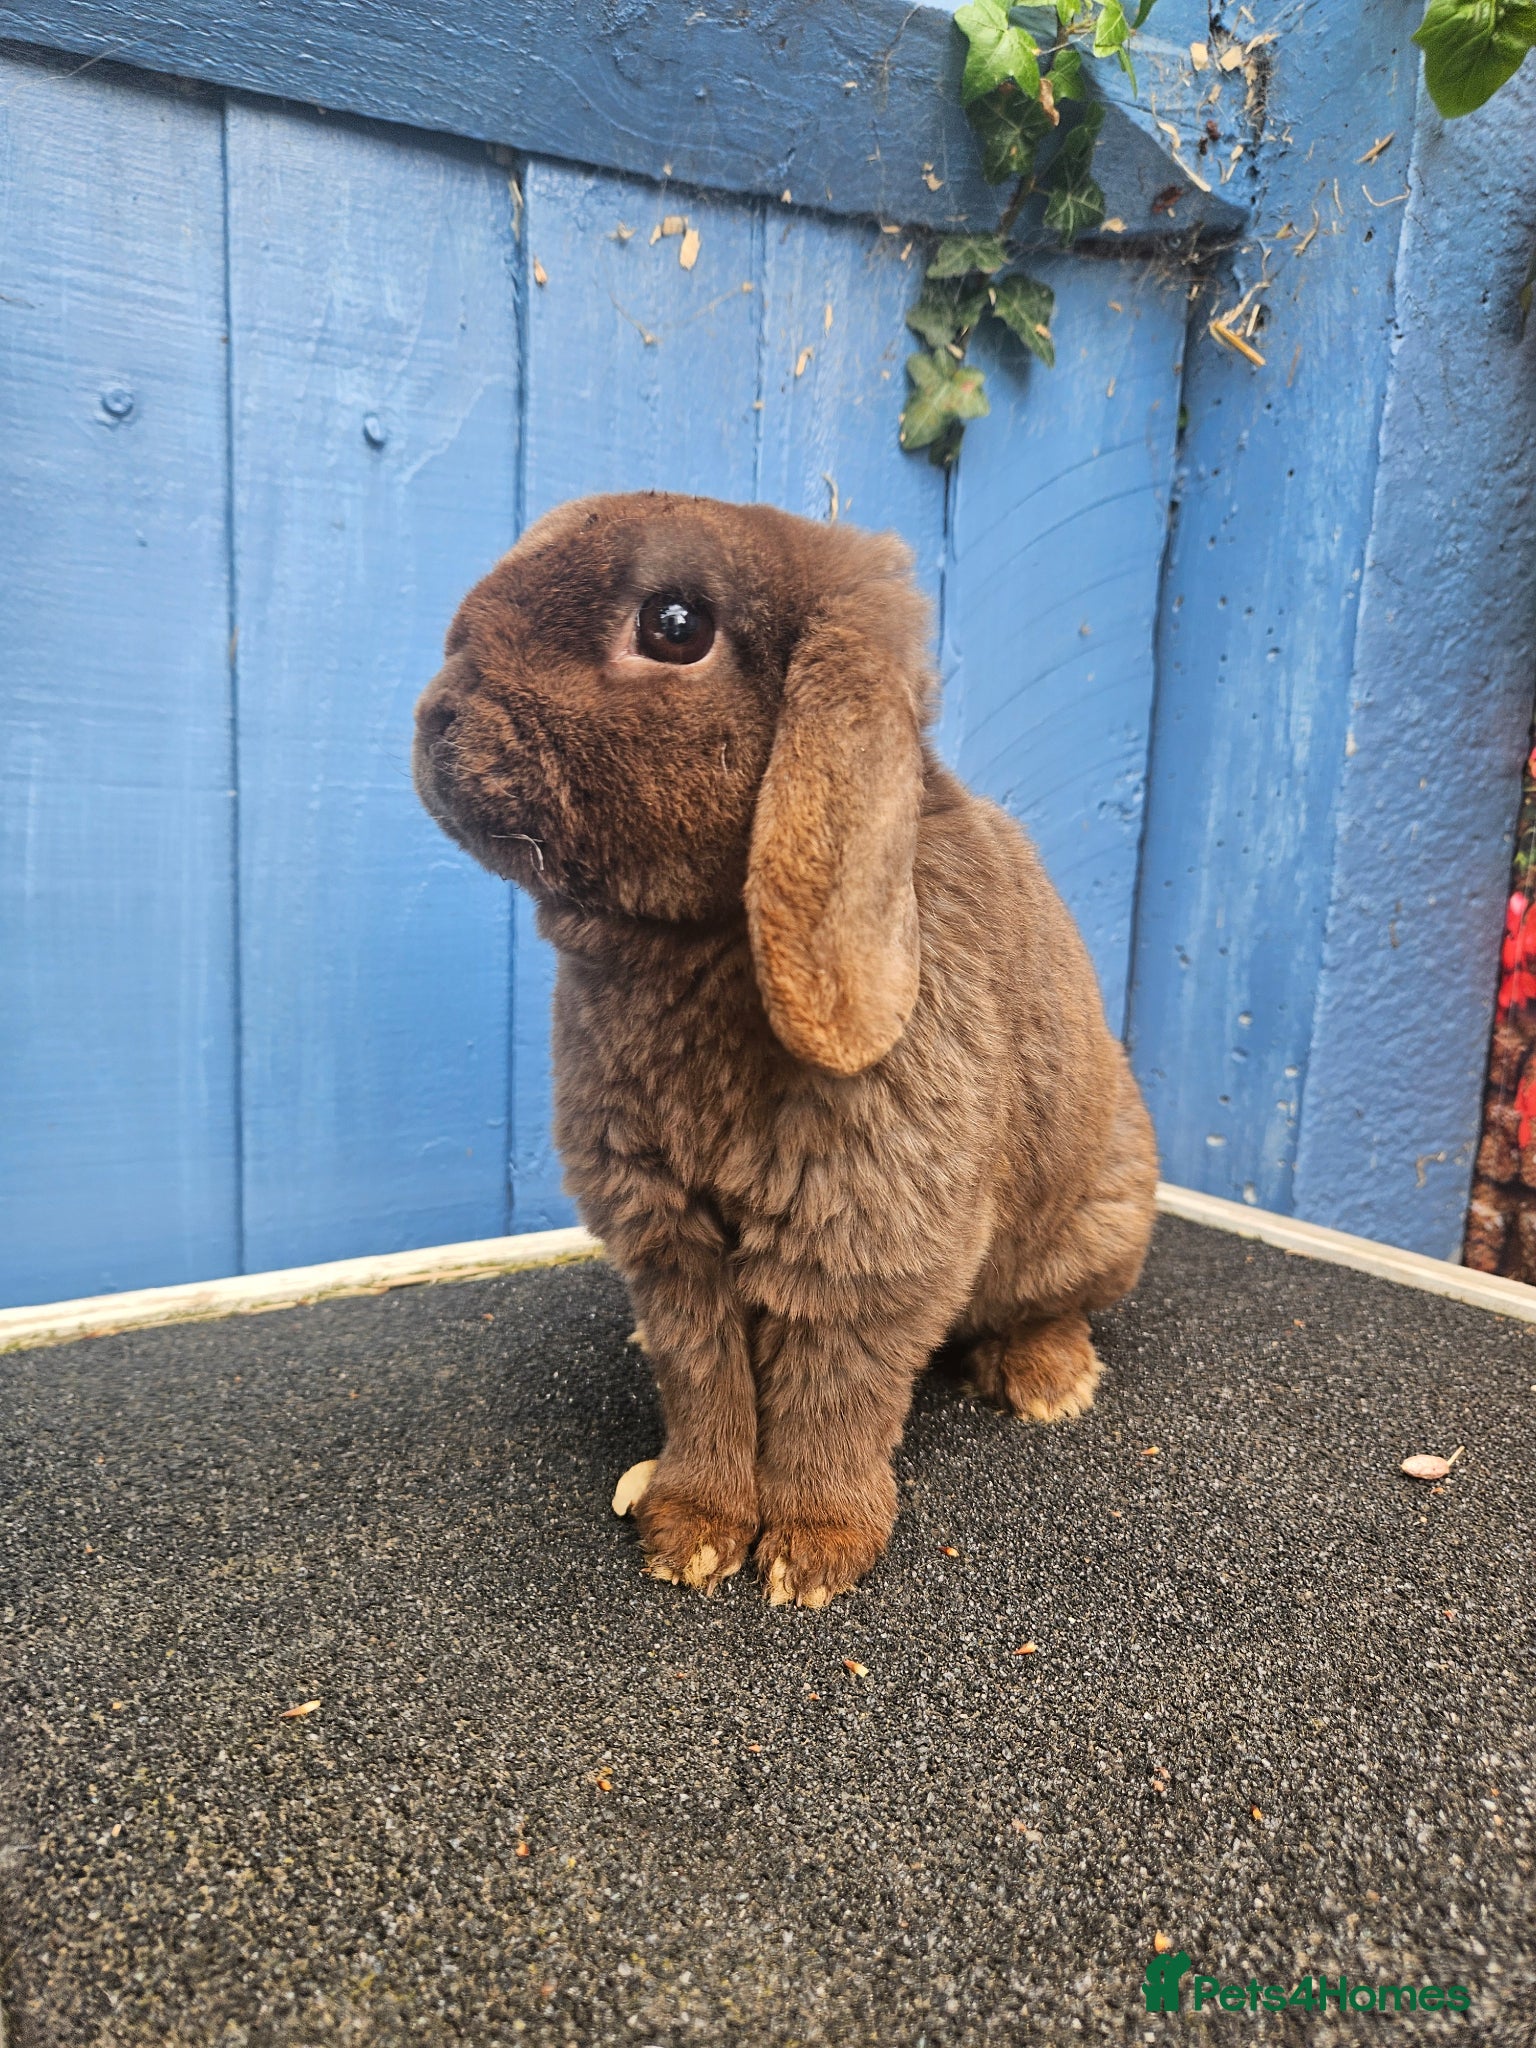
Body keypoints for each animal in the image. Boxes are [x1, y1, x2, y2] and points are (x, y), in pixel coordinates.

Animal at [413, 491, 1158, 1609]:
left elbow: (831, 1397)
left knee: (1048, 1308)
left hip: (1096, 1220)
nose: (436, 717)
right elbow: (705, 1380)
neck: (691, 946)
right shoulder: (671, 1239)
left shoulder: (865, 1240)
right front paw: (692, 1533)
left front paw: (812, 1551)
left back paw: (1048, 1381)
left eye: (676, 626)